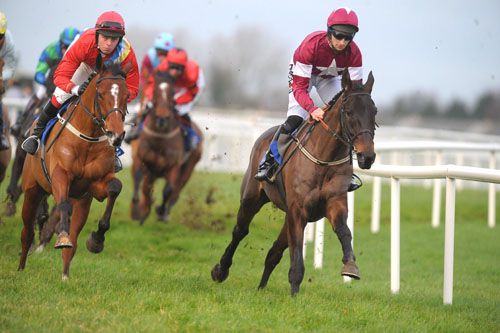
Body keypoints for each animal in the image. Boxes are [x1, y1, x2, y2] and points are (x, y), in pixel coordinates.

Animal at [18, 61, 130, 278]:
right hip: (32, 190)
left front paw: (96, 240)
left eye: (127, 95)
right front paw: (61, 236)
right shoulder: (60, 175)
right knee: (27, 232)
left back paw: (65, 276)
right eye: (101, 94)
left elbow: (114, 188)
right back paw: (20, 268)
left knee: (74, 242)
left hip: (82, 203)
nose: (116, 134)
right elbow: (62, 204)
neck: (88, 139)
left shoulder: (94, 186)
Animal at [131, 71, 205, 224]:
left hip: (189, 167)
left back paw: (164, 212)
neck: (159, 139)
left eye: (172, 92)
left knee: (176, 190)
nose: (162, 119)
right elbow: (139, 179)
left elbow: (168, 190)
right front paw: (139, 208)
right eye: (155, 91)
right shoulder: (142, 159)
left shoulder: (174, 166)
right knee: (147, 186)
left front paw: (160, 210)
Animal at [211, 69, 378, 294]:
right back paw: (221, 271)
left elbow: (344, 231)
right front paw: (294, 294)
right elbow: (297, 256)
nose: (367, 156)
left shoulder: (333, 203)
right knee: (240, 231)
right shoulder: (298, 210)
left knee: (273, 252)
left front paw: (350, 266)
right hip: (251, 198)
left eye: (374, 111)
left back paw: (261, 288)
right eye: (349, 112)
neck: (324, 159)